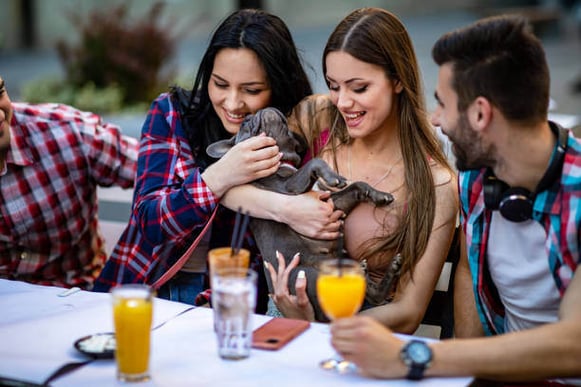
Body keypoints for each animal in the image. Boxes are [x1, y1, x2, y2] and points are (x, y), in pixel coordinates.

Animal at [205, 106, 394, 322]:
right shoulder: (288, 188)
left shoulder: (331, 202)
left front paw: (378, 195)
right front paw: (333, 177)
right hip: (310, 276)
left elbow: (357, 187)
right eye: (244, 122)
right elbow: (314, 162)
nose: (264, 109)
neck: (282, 160)